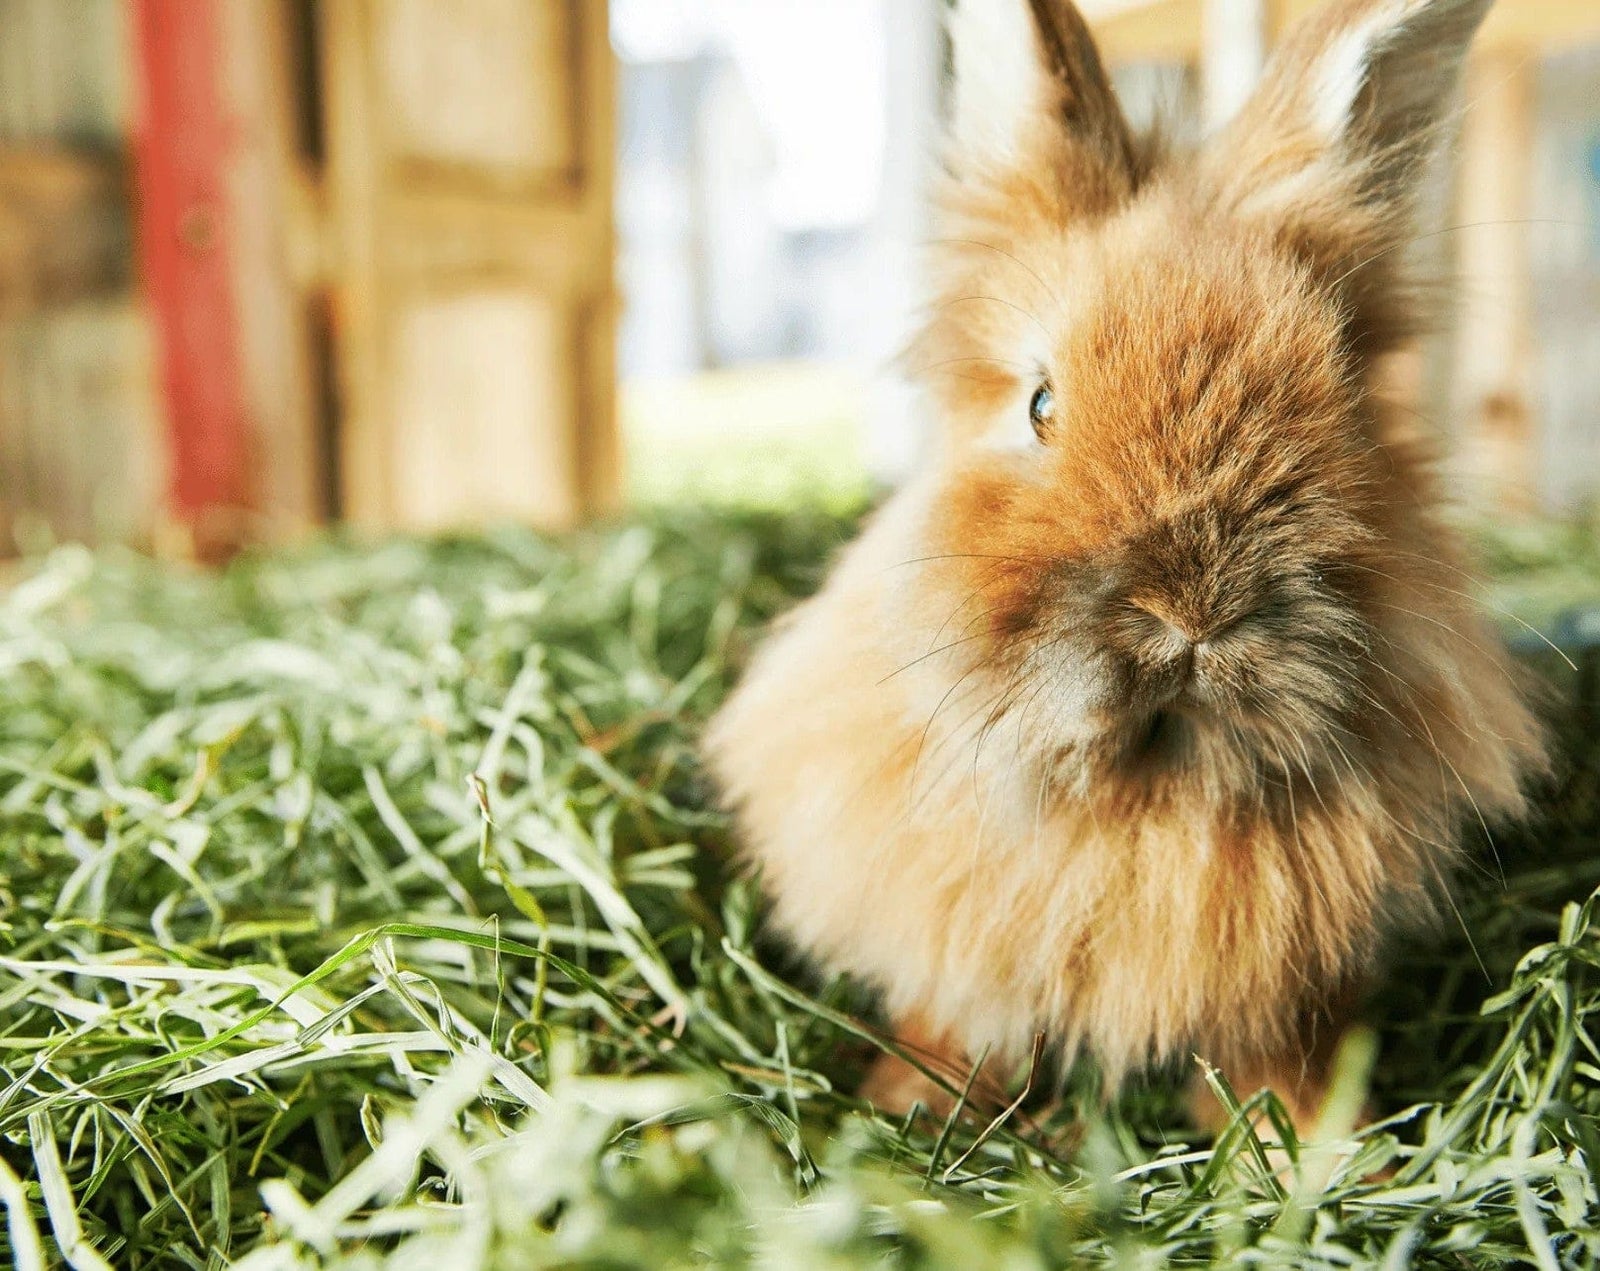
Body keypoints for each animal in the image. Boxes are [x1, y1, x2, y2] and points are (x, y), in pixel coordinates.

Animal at [705, 0, 1545, 1133]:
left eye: (1347, 402)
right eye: (1039, 403)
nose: (1192, 612)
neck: (1144, 790)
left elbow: (1280, 1064)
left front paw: (1317, 1147)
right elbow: (960, 1025)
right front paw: (911, 1107)